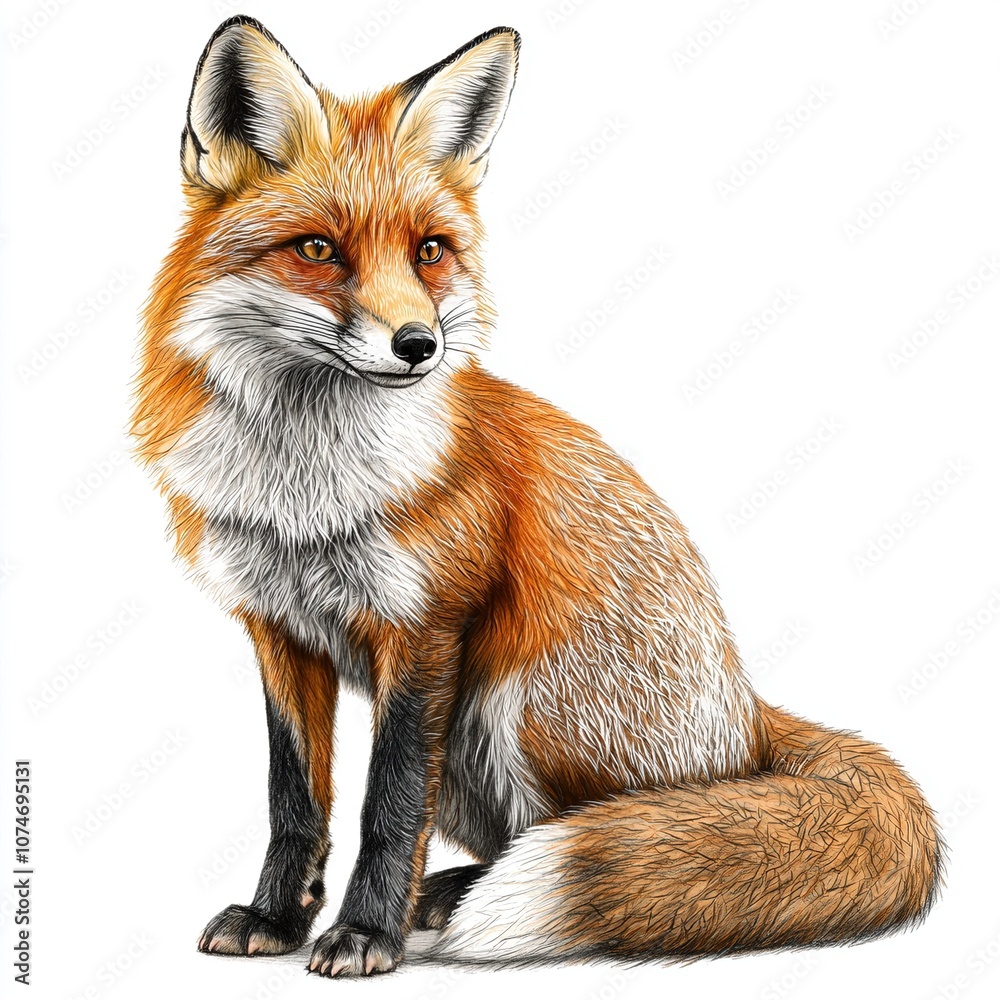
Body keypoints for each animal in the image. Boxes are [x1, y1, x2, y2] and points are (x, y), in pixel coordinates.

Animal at [131, 15, 942, 978]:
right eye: (318, 250)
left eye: (430, 251)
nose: (419, 345)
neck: (308, 494)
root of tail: (749, 714)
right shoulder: (278, 629)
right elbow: (294, 798)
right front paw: (275, 919)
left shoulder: (426, 627)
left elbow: (387, 803)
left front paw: (365, 933)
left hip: (514, 705)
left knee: (590, 827)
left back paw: (461, 899)